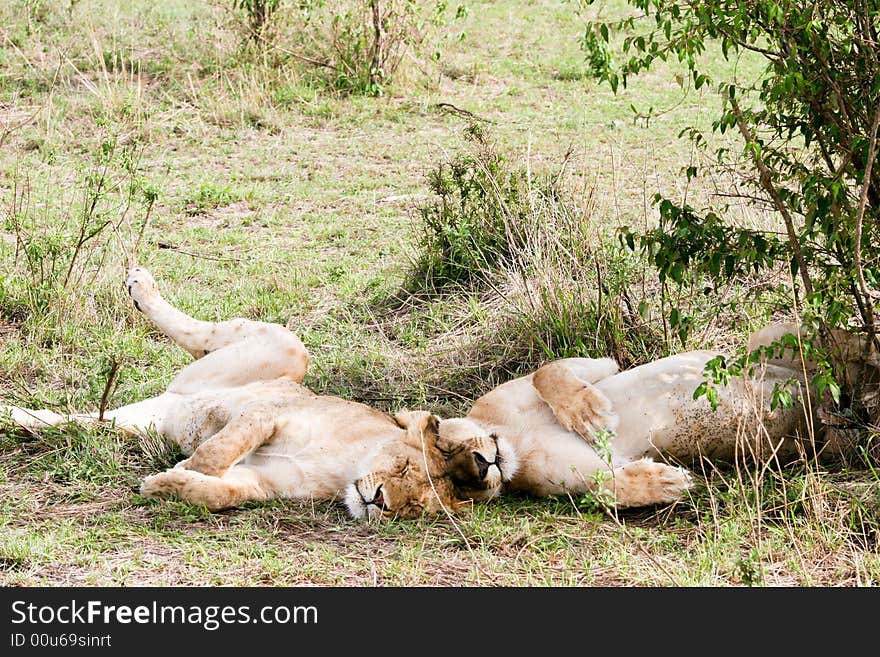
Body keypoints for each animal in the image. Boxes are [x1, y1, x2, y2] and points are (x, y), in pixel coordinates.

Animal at [434, 326, 880, 504]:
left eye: (442, 446)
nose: (480, 467)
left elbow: (550, 371)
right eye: (456, 485)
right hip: (824, 439)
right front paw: (667, 482)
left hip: (768, 338)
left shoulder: (594, 366)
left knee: (846, 338)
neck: (516, 438)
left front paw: (591, 414)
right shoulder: (567, 476)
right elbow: (607, 489)